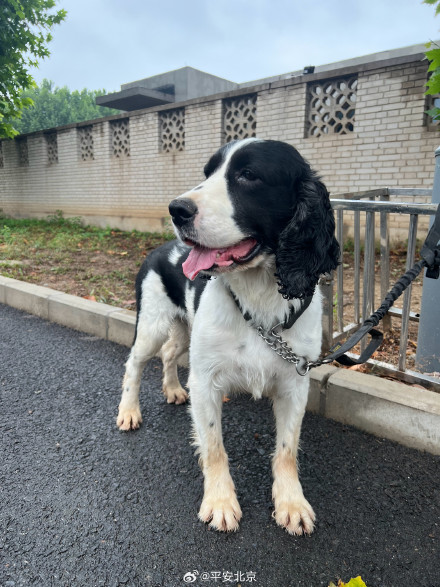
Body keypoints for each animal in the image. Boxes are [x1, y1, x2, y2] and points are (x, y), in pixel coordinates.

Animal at [117, 140, 340, 536]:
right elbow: (214, 445)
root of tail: (158, 248)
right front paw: (220, 502)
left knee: (170, 353)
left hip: (183, 329)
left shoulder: (295, 383)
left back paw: (173, 389)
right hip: (152, 325)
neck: (259, 297)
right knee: (135, 362)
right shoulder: (206, 380)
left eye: (248, 175)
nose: (176, 209)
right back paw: (128, 411)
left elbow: (287, 449)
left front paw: (291, 502)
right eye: (207, 173)